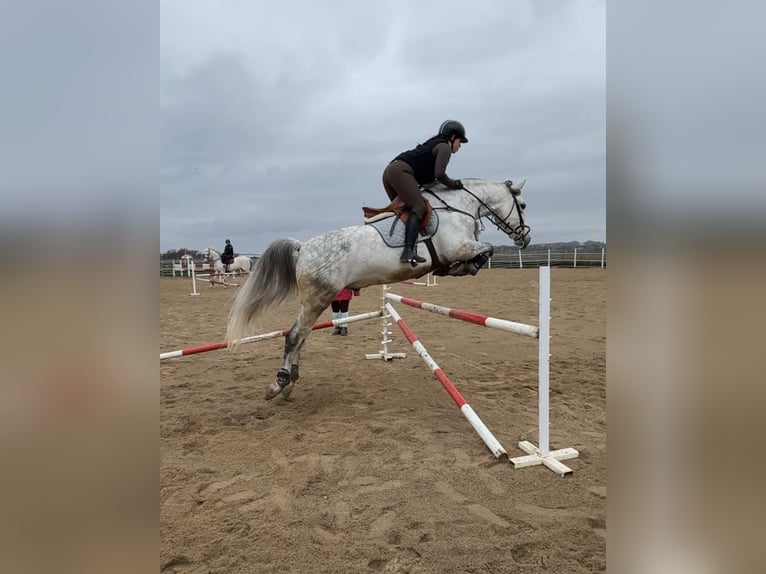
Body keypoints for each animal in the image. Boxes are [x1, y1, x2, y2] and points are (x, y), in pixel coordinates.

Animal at [225, 179, 532, 400]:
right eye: (523, 204)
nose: (525, 238)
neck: (458, 207)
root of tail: (302, 248)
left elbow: (483, 250)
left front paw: (460, 268)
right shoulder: (461, 246)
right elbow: (486, 249)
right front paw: (465, 266)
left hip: (315, 302)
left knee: (300, 338)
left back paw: (290, 383)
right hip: (318, 299)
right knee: (294, 336)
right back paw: (279, 384)